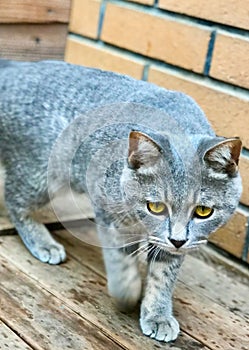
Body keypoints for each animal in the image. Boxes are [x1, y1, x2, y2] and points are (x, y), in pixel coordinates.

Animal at [0, 60, 241, 342]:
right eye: (156, 207)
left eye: (203, 211)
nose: (178, 240)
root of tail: (18, 65)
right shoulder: (108, 209)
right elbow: (121, 258)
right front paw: (126, 291)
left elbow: (163, 275)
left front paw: (157, 313)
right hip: (40, 176)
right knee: (14, 199)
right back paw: (42, 242)